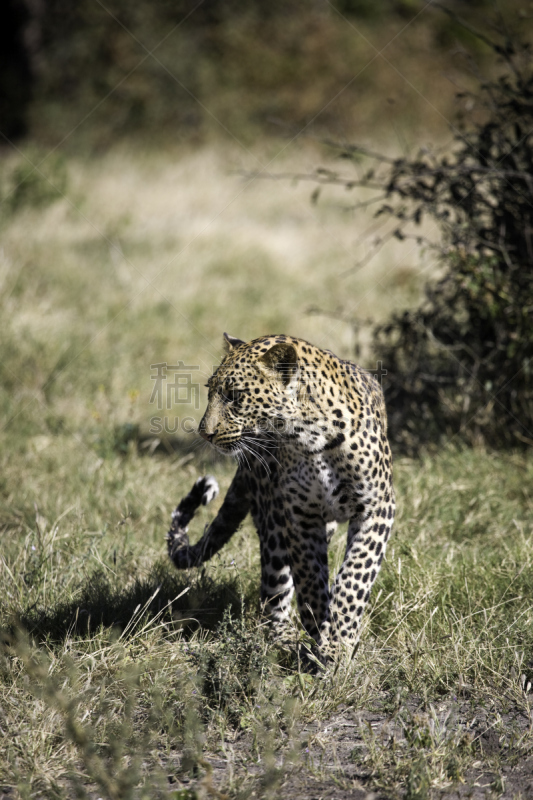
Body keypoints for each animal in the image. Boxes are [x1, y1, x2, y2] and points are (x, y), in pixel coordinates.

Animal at [167, 332, 394, 664]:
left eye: (234, 395)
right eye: (210, 392)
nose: (204, 433)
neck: (311, 438)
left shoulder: (376, 508)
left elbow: (355, 576)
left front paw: (339, 641)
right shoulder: (300, 516)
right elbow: (311, 580)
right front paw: (321, 634)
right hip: (274, 522)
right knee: (272, 591)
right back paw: (284, 638)